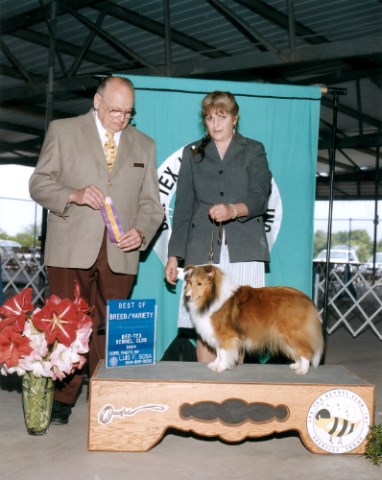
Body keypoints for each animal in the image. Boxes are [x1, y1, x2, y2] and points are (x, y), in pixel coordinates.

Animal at [184, 266, 324, 376]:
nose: (187, 297)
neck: (213, 298)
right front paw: (215, 364)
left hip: (292, 332)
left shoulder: (227, 335)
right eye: (190, 282)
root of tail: (307, 299)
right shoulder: (220, 335)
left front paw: (221, 367)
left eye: (199, 283)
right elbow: (219, 352)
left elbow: (223, 352)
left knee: (307, 351)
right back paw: (297, 365)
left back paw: (303, 370)